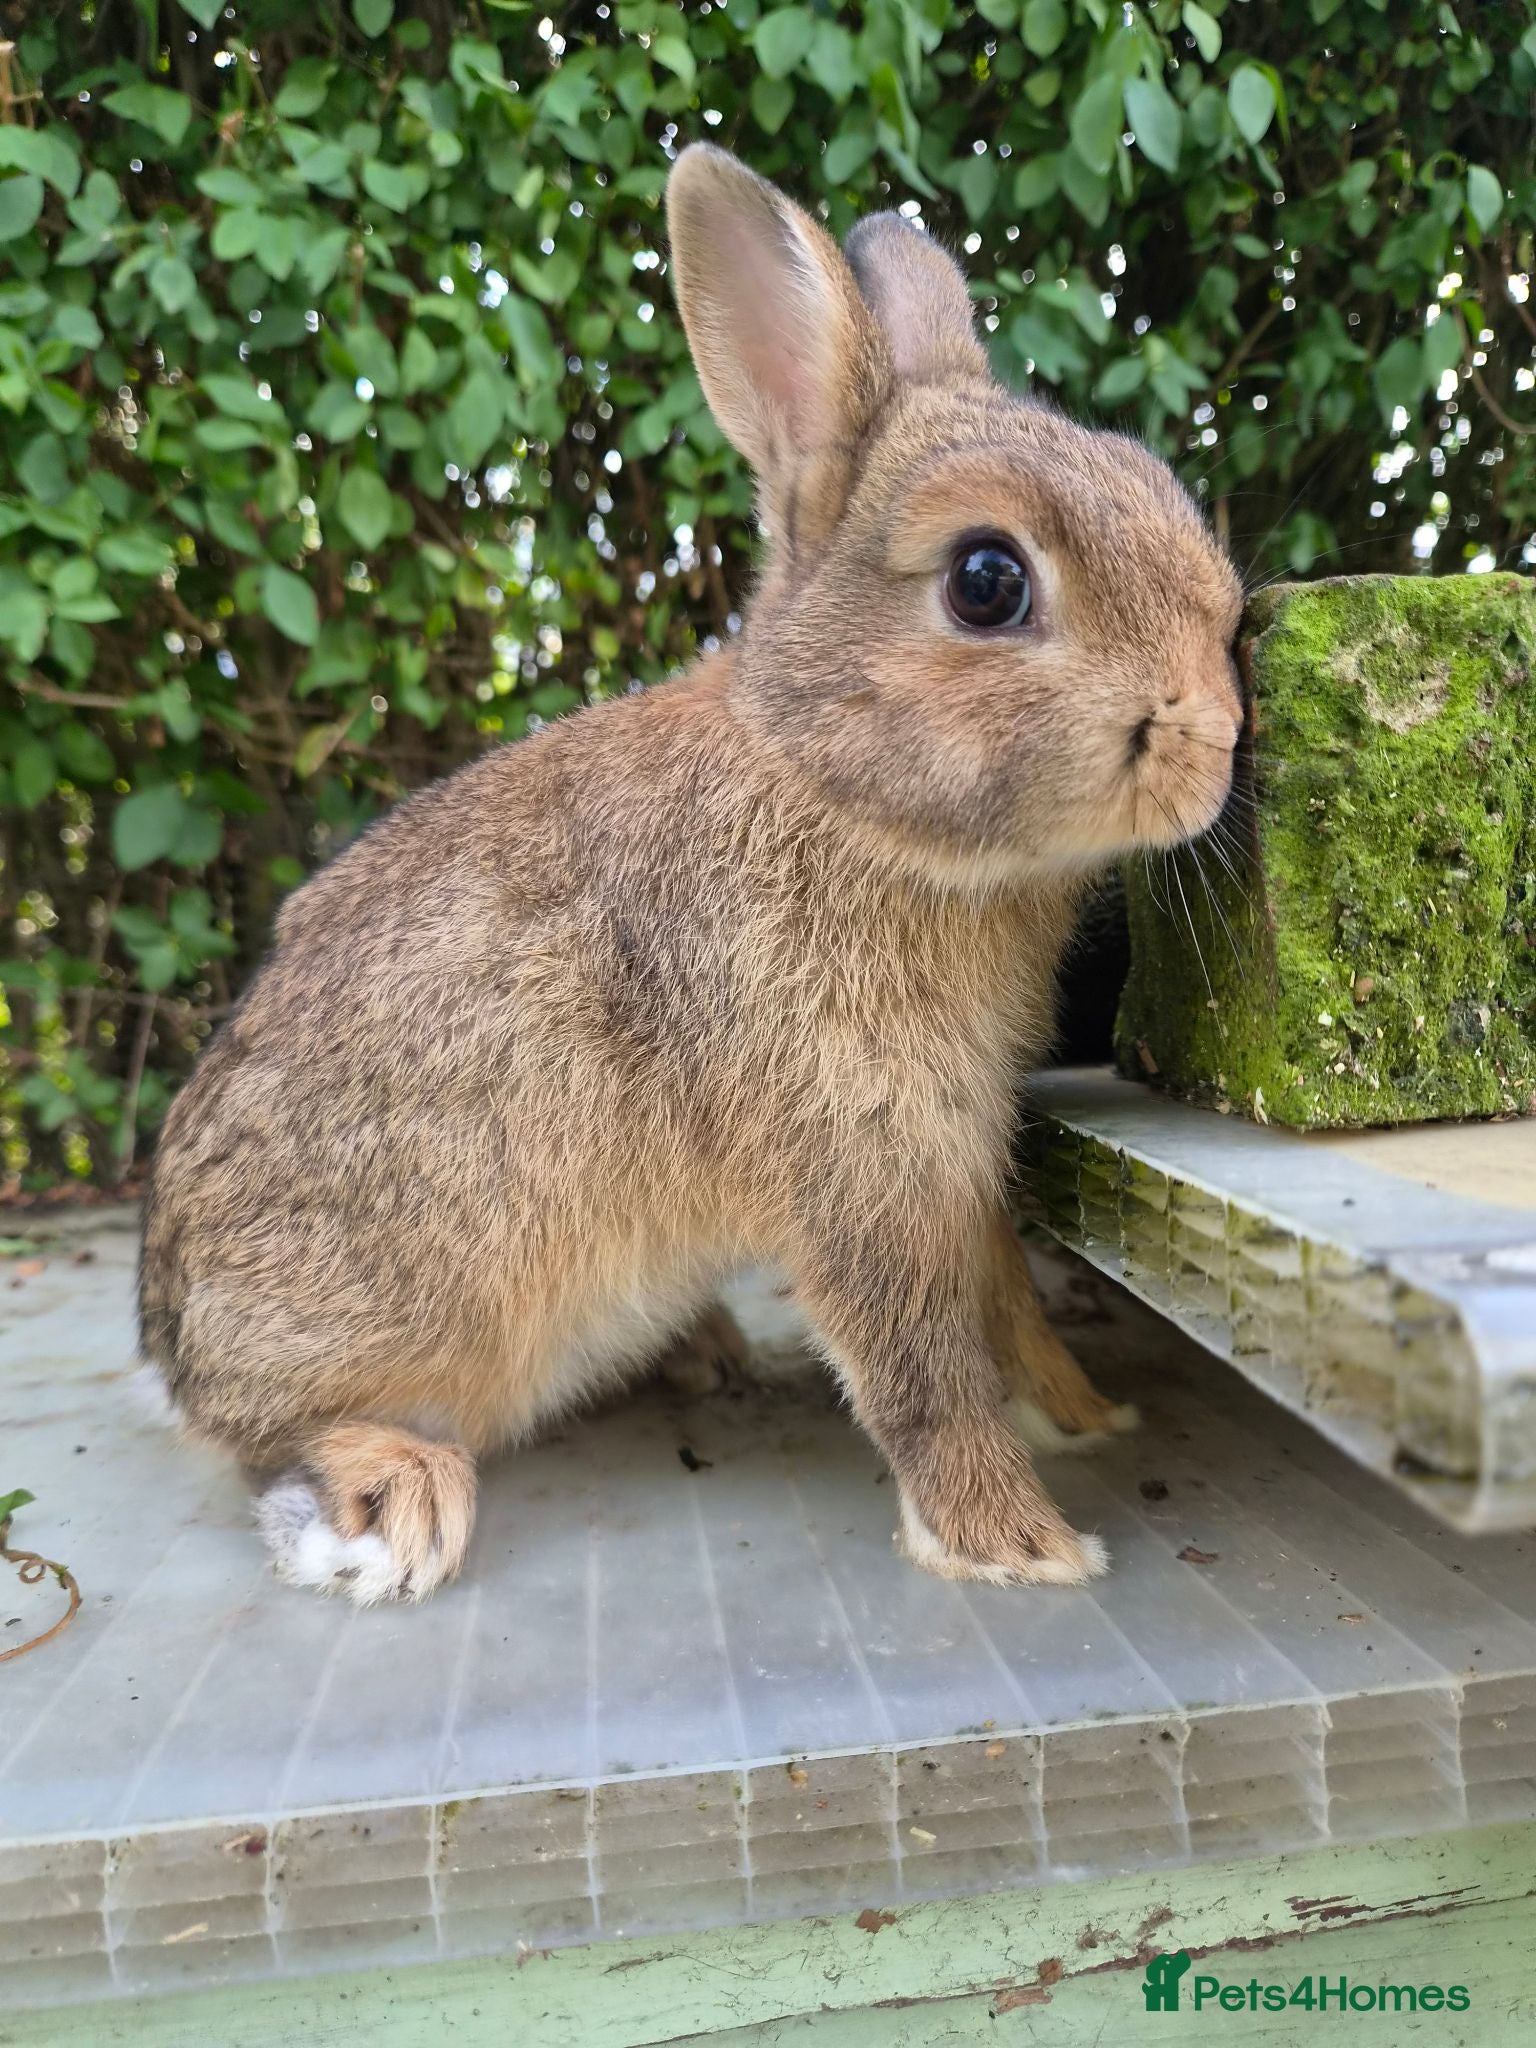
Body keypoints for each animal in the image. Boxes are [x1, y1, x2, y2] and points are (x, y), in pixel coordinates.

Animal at [139, 144, 1243, 1605]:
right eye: (987, 579)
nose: (1219, 734)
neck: (832, 789)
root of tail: (170, 1334)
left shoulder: (952, 1157)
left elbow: (1005, 1301)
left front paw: (1089, 1417)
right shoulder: (852, 1154)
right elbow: (917, 1361)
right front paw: (1022, 1544)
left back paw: (702, 1353)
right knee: (283, 1437)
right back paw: (400, 1499)